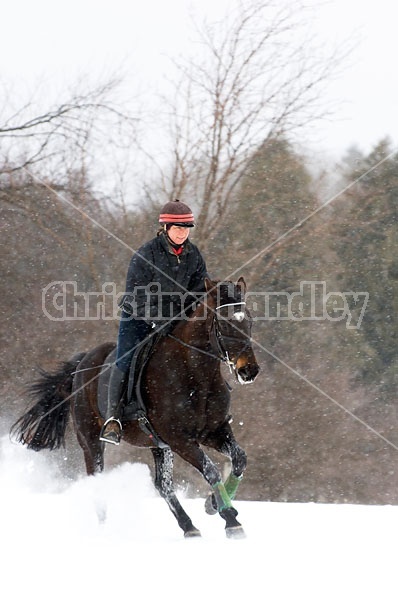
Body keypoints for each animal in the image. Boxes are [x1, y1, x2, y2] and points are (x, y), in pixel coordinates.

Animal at [10, 278, 260, 536]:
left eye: (249, 321)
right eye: (224, 323)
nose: (249, 370)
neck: (196, 376)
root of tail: (81, 364)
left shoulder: (213, 431)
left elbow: (239, 459)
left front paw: (213, 505)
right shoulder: (180, 439)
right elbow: (210, 469)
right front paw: (230, 518)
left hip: (158, 444)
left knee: (163, 485)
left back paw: (189, 527)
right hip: (90, 440)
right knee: (97, 477)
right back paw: (105, 529)